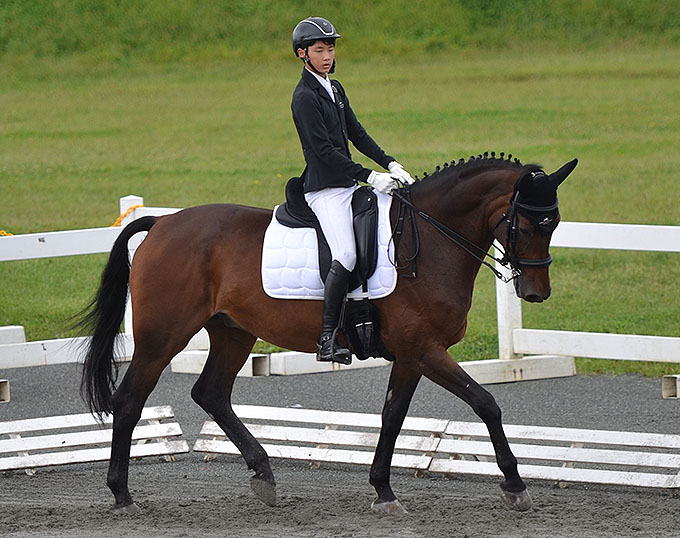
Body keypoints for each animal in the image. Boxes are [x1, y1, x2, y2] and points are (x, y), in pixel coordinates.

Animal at [79, 153, 580, 512]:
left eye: (555, 223)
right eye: (528, 223)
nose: (536, 293)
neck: (430, 241)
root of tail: (163, 222)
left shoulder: (411, 354)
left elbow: (393, 416)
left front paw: (383, 491)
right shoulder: (426, 350)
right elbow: (486, 402)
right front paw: (515, 485)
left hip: (233, 332)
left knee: (211, 393)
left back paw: (263, 474)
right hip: (163, 338)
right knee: (130, 401)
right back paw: (122, 495)